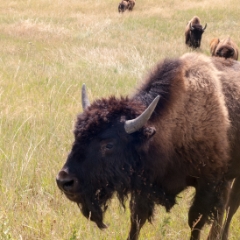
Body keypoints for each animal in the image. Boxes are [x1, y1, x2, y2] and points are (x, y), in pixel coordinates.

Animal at [55, 53, 240, 240]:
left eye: (109, 145)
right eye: (76, 135)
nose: (64, 181)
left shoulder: (208, 184)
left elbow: (196, 222)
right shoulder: (145, 186)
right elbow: (137, 221)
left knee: (230, 207)